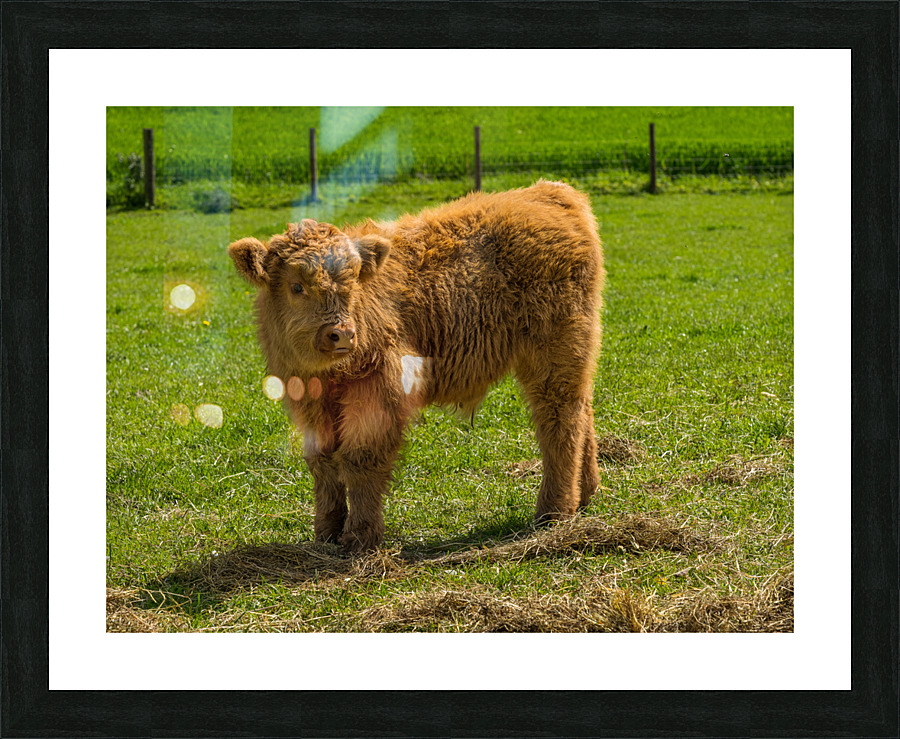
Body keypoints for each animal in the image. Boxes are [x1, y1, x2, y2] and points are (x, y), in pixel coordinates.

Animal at [229, 180, 605, 552]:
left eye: (352, 284)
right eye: (296, 286)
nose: (342, 334)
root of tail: (549, 191)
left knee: (559, 422)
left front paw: (360, 537)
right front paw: (326, 533)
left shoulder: (380, 391)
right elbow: (323, 463)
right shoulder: (309, 402)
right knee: (582, 411)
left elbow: (360, 459)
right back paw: (585, 493)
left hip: (554, 354)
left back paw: (554, 511)